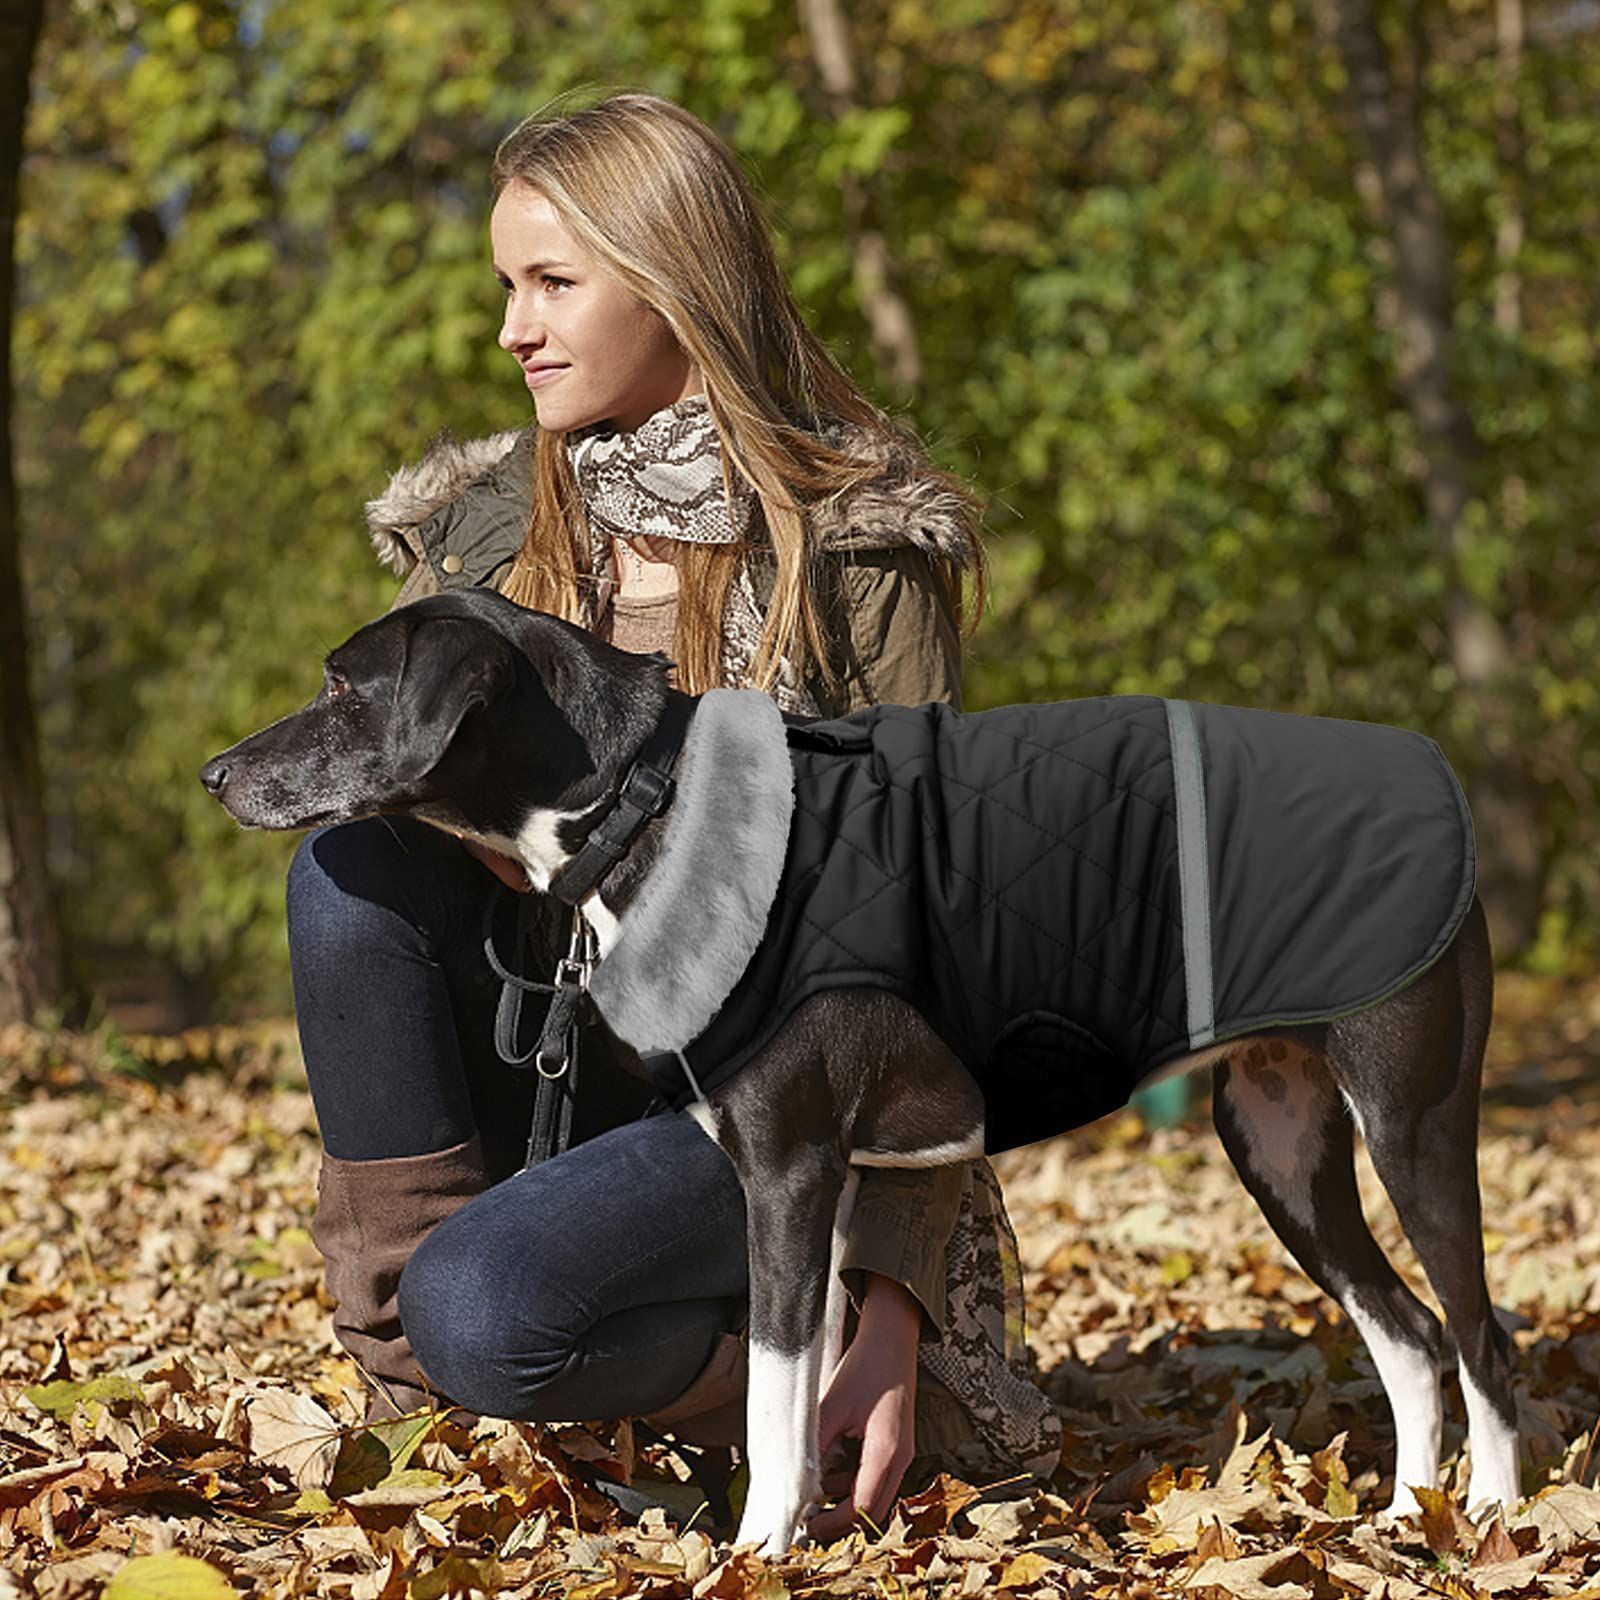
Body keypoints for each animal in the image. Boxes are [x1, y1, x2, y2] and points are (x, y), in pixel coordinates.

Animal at [206, 588, 1516, 1548]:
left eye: (343, 685)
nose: (217, 772)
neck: (644, 802)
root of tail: (1437, 782)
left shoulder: (786, 1169)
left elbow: (774, 1389)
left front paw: (757, 1551)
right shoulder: (824, 1190)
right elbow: (807, 1384)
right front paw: (820, 1528)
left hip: (1412, 1117)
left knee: (1478, 1334)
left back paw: (1496, 1523)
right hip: (1278, 1141)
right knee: (1408, 1329)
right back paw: (1405, 1517)